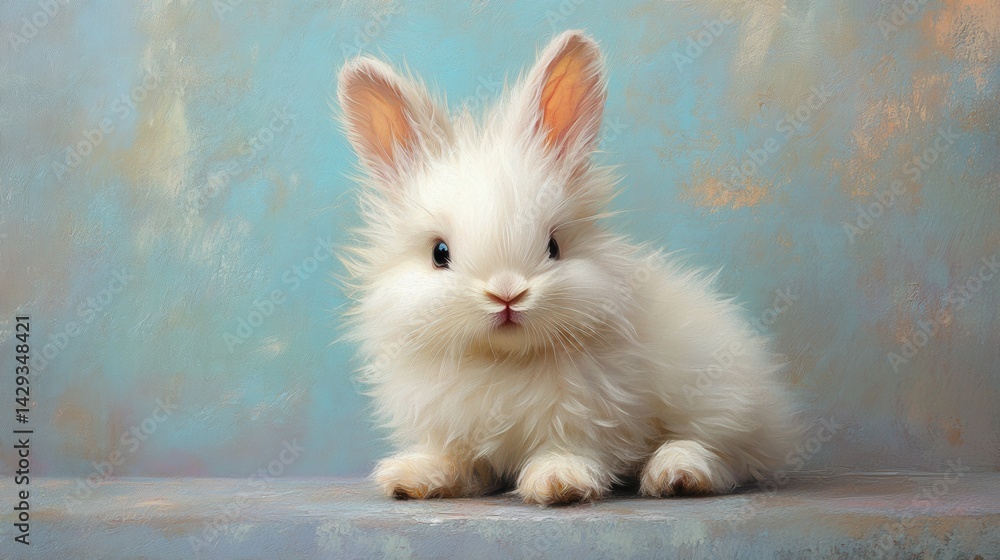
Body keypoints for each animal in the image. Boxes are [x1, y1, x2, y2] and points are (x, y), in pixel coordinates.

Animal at [336, 30, 799, 505]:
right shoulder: (449, 426)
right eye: (439, 253)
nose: (507, 294)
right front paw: (412, 477)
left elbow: (567, 447)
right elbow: (456, 459)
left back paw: (678, 472)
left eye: (554, 246)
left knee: (727, 456)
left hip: (725, 400)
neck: (505, 360)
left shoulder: (588, 416)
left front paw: (559, 482)